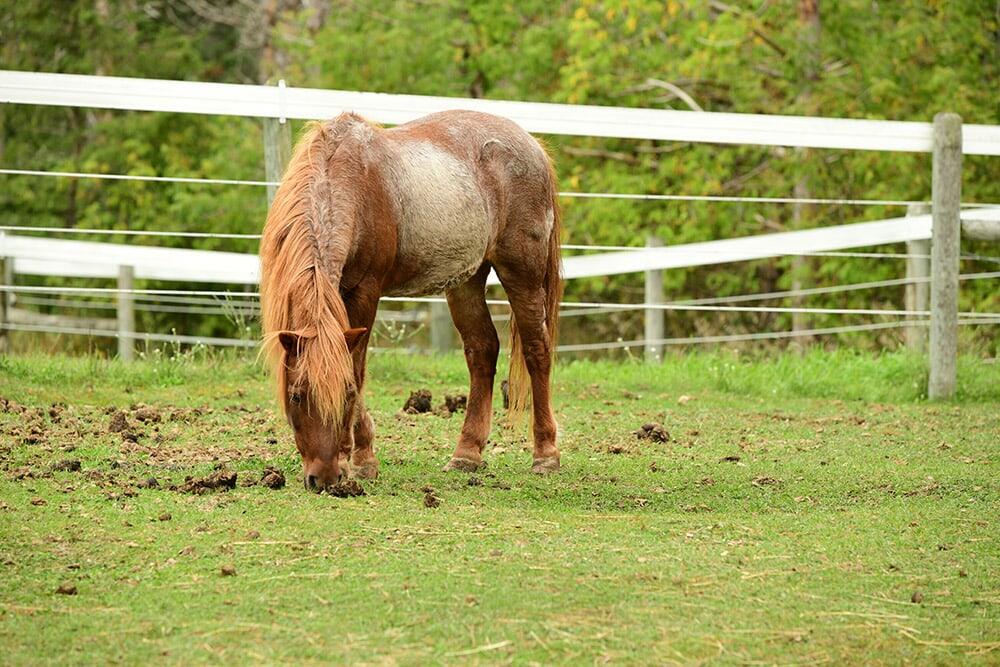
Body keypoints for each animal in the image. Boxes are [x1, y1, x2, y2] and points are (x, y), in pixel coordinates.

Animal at [259, 110, 562, 492]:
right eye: (297, 395)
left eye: (346, 394)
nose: (325, 478)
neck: (348, 182)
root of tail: (533, 145)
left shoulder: (365, 291)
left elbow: (357, 368)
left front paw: (363, 460)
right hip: (467, 280)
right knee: (482, 350)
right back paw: (466, 454)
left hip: (522, 273)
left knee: (537, 349)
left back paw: (546, 455)